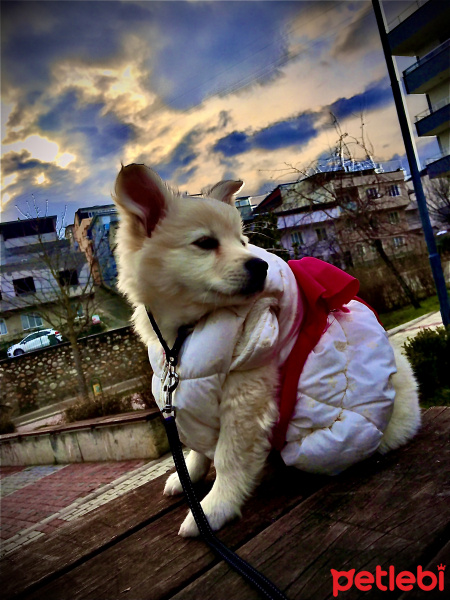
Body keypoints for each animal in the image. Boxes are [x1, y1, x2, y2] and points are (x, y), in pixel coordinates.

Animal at [113, 164, 422, 540]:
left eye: (243, 242)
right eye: (205, 243)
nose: (259, 265)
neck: (184, 335)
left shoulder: (246, 392)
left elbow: (229, 457)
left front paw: (213, 510)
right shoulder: (185, 393)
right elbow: (196, 445)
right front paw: (189, 476)